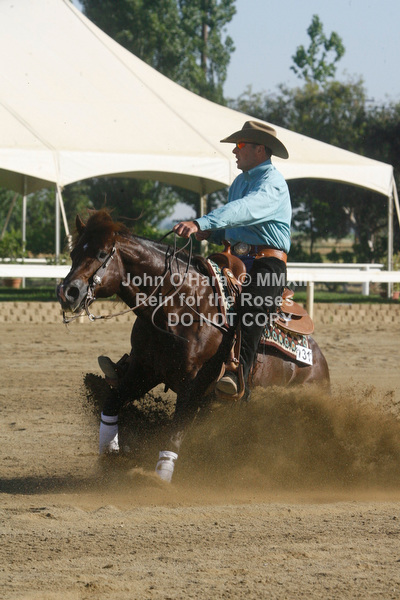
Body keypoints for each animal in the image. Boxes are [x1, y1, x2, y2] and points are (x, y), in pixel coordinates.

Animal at [57, 209, 329, 482]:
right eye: (73, 253)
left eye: (102, 253)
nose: (67, 292)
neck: (179, 307)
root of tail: (319, 362)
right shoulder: (144, 370)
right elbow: (112, 404)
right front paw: (109, 460)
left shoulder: (193, 383)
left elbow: (176, 430)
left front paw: (161, 478)